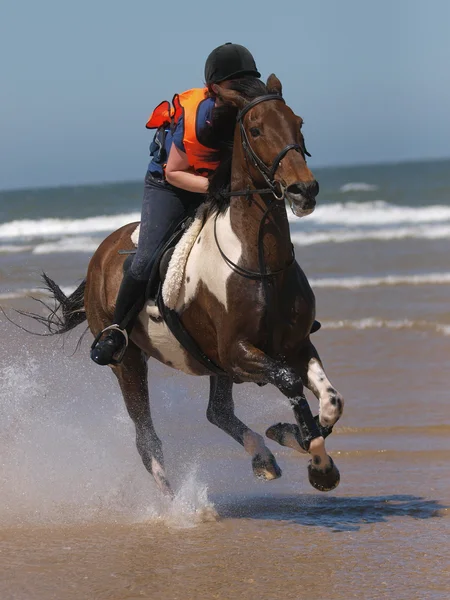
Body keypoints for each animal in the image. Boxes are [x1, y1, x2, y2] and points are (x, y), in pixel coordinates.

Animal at [35, 74, 344, 496]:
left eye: (298, 123)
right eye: (255, 129)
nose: (304, 190)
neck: (262, 263)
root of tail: (102, 251)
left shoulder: (294, 345)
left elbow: (330, 401)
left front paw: (298, 441)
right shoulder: (237, 352)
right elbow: (290, 382)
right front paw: (312, 458)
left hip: (209, 365)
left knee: (218, 412)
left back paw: (263, 458)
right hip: (128, 362)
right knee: (147, 437)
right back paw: (174, 501)